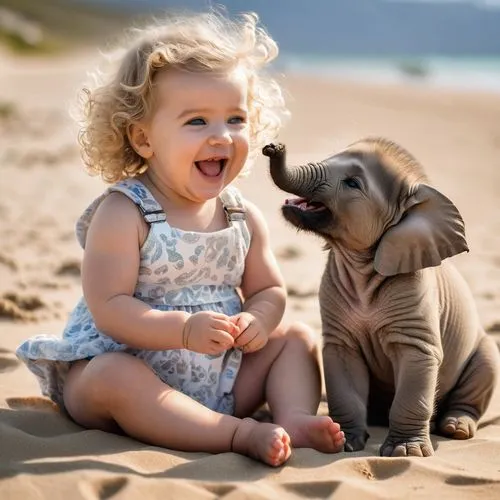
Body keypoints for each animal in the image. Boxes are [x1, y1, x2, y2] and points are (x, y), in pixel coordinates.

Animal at [264, 137, 498, 458]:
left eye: (352, 183)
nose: (272, 146)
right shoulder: (338, 330)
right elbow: (344, 380)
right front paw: (345, 442)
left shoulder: (417, 309)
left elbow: (415, 380)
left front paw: (404, 452)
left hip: (485, 353)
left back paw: (455, 427)